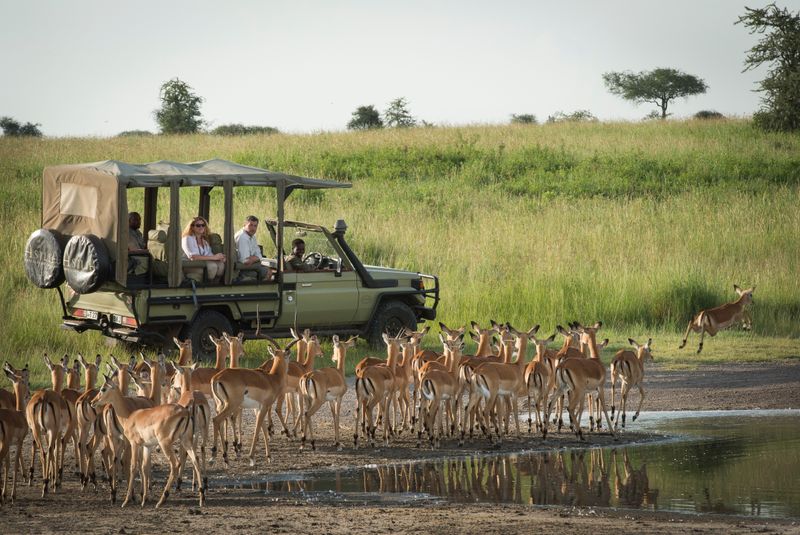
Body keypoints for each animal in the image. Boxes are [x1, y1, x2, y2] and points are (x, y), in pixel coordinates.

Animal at [90, 378, 204, 508]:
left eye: (103, 389)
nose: (92, 402)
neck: (129, 417)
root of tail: (185, 412)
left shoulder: (134, 444)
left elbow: (133, 467)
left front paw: (126, 500)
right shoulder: (146, 446)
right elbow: (144, 467)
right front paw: (144, 499)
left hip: (165, 444)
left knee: (175, 464)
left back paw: (161, 500)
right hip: (186, 441)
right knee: (196, 461)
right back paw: (201, 498)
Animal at [210, 336, 299, 466]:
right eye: (288, 356)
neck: (272, 379)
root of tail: (216, 378)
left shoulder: (257, 408)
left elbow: (263, 429)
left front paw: (269, 456)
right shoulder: (265, 406)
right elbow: (258, 428)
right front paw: (252, 457)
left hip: (220, 404)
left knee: (220, 422)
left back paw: (225, 458)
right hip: (231, 405)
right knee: (216, 420)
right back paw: (215, 457)